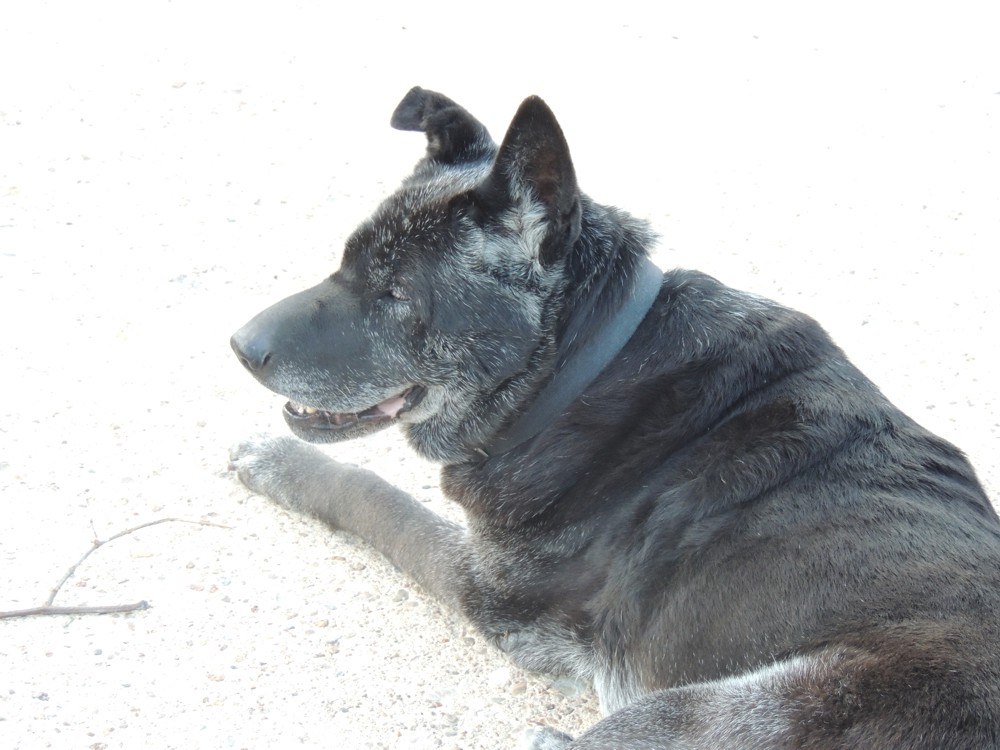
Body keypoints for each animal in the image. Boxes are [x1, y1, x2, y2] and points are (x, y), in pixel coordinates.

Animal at [230, 89, 1000, 750]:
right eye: (343, 262)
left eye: (395, 293)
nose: (239, 345)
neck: (584, 368)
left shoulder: (488, 589)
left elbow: (374, 498)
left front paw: (280, 464)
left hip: (728, 704)